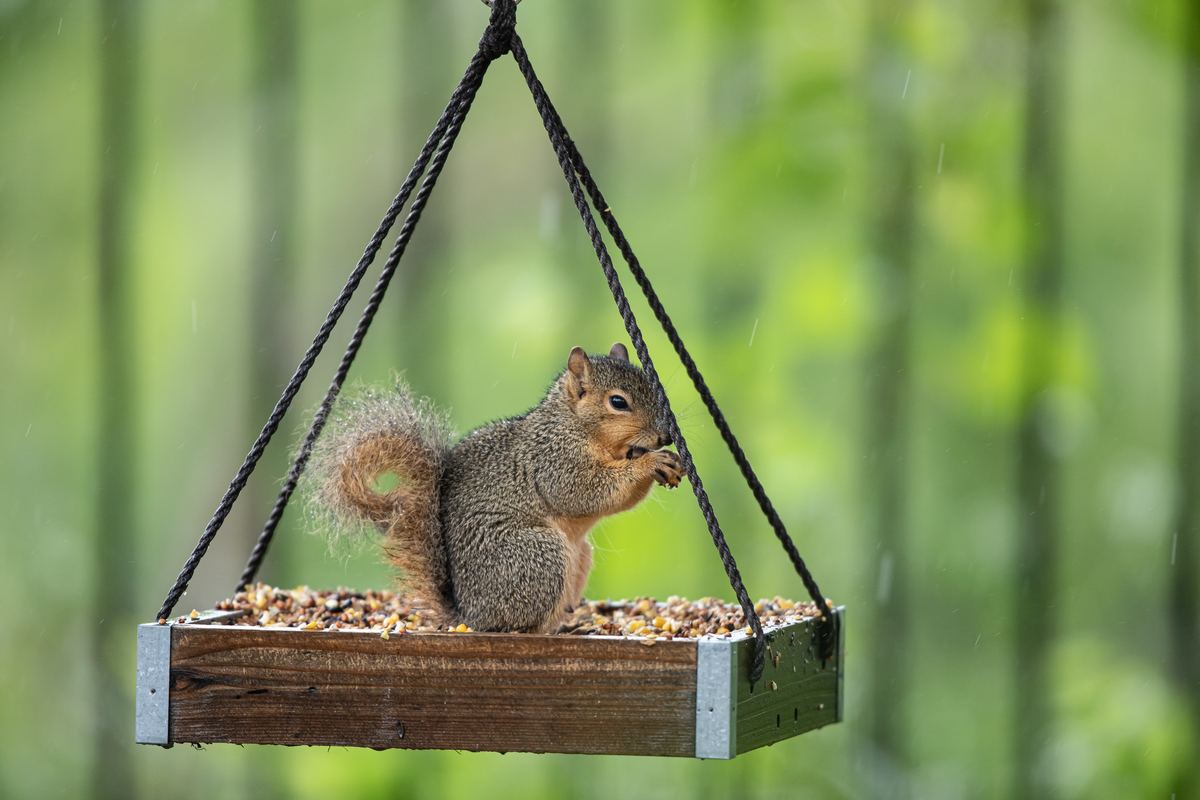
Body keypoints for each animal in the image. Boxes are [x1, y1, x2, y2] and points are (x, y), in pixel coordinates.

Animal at [307, 340, 686, 633]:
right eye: (618, 402)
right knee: (519, 626)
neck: (574, 423)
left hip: (578, 557)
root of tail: (470, 615)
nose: (665, 436)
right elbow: (582, 492)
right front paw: (650, 463)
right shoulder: (553, 461)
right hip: (537, 555)